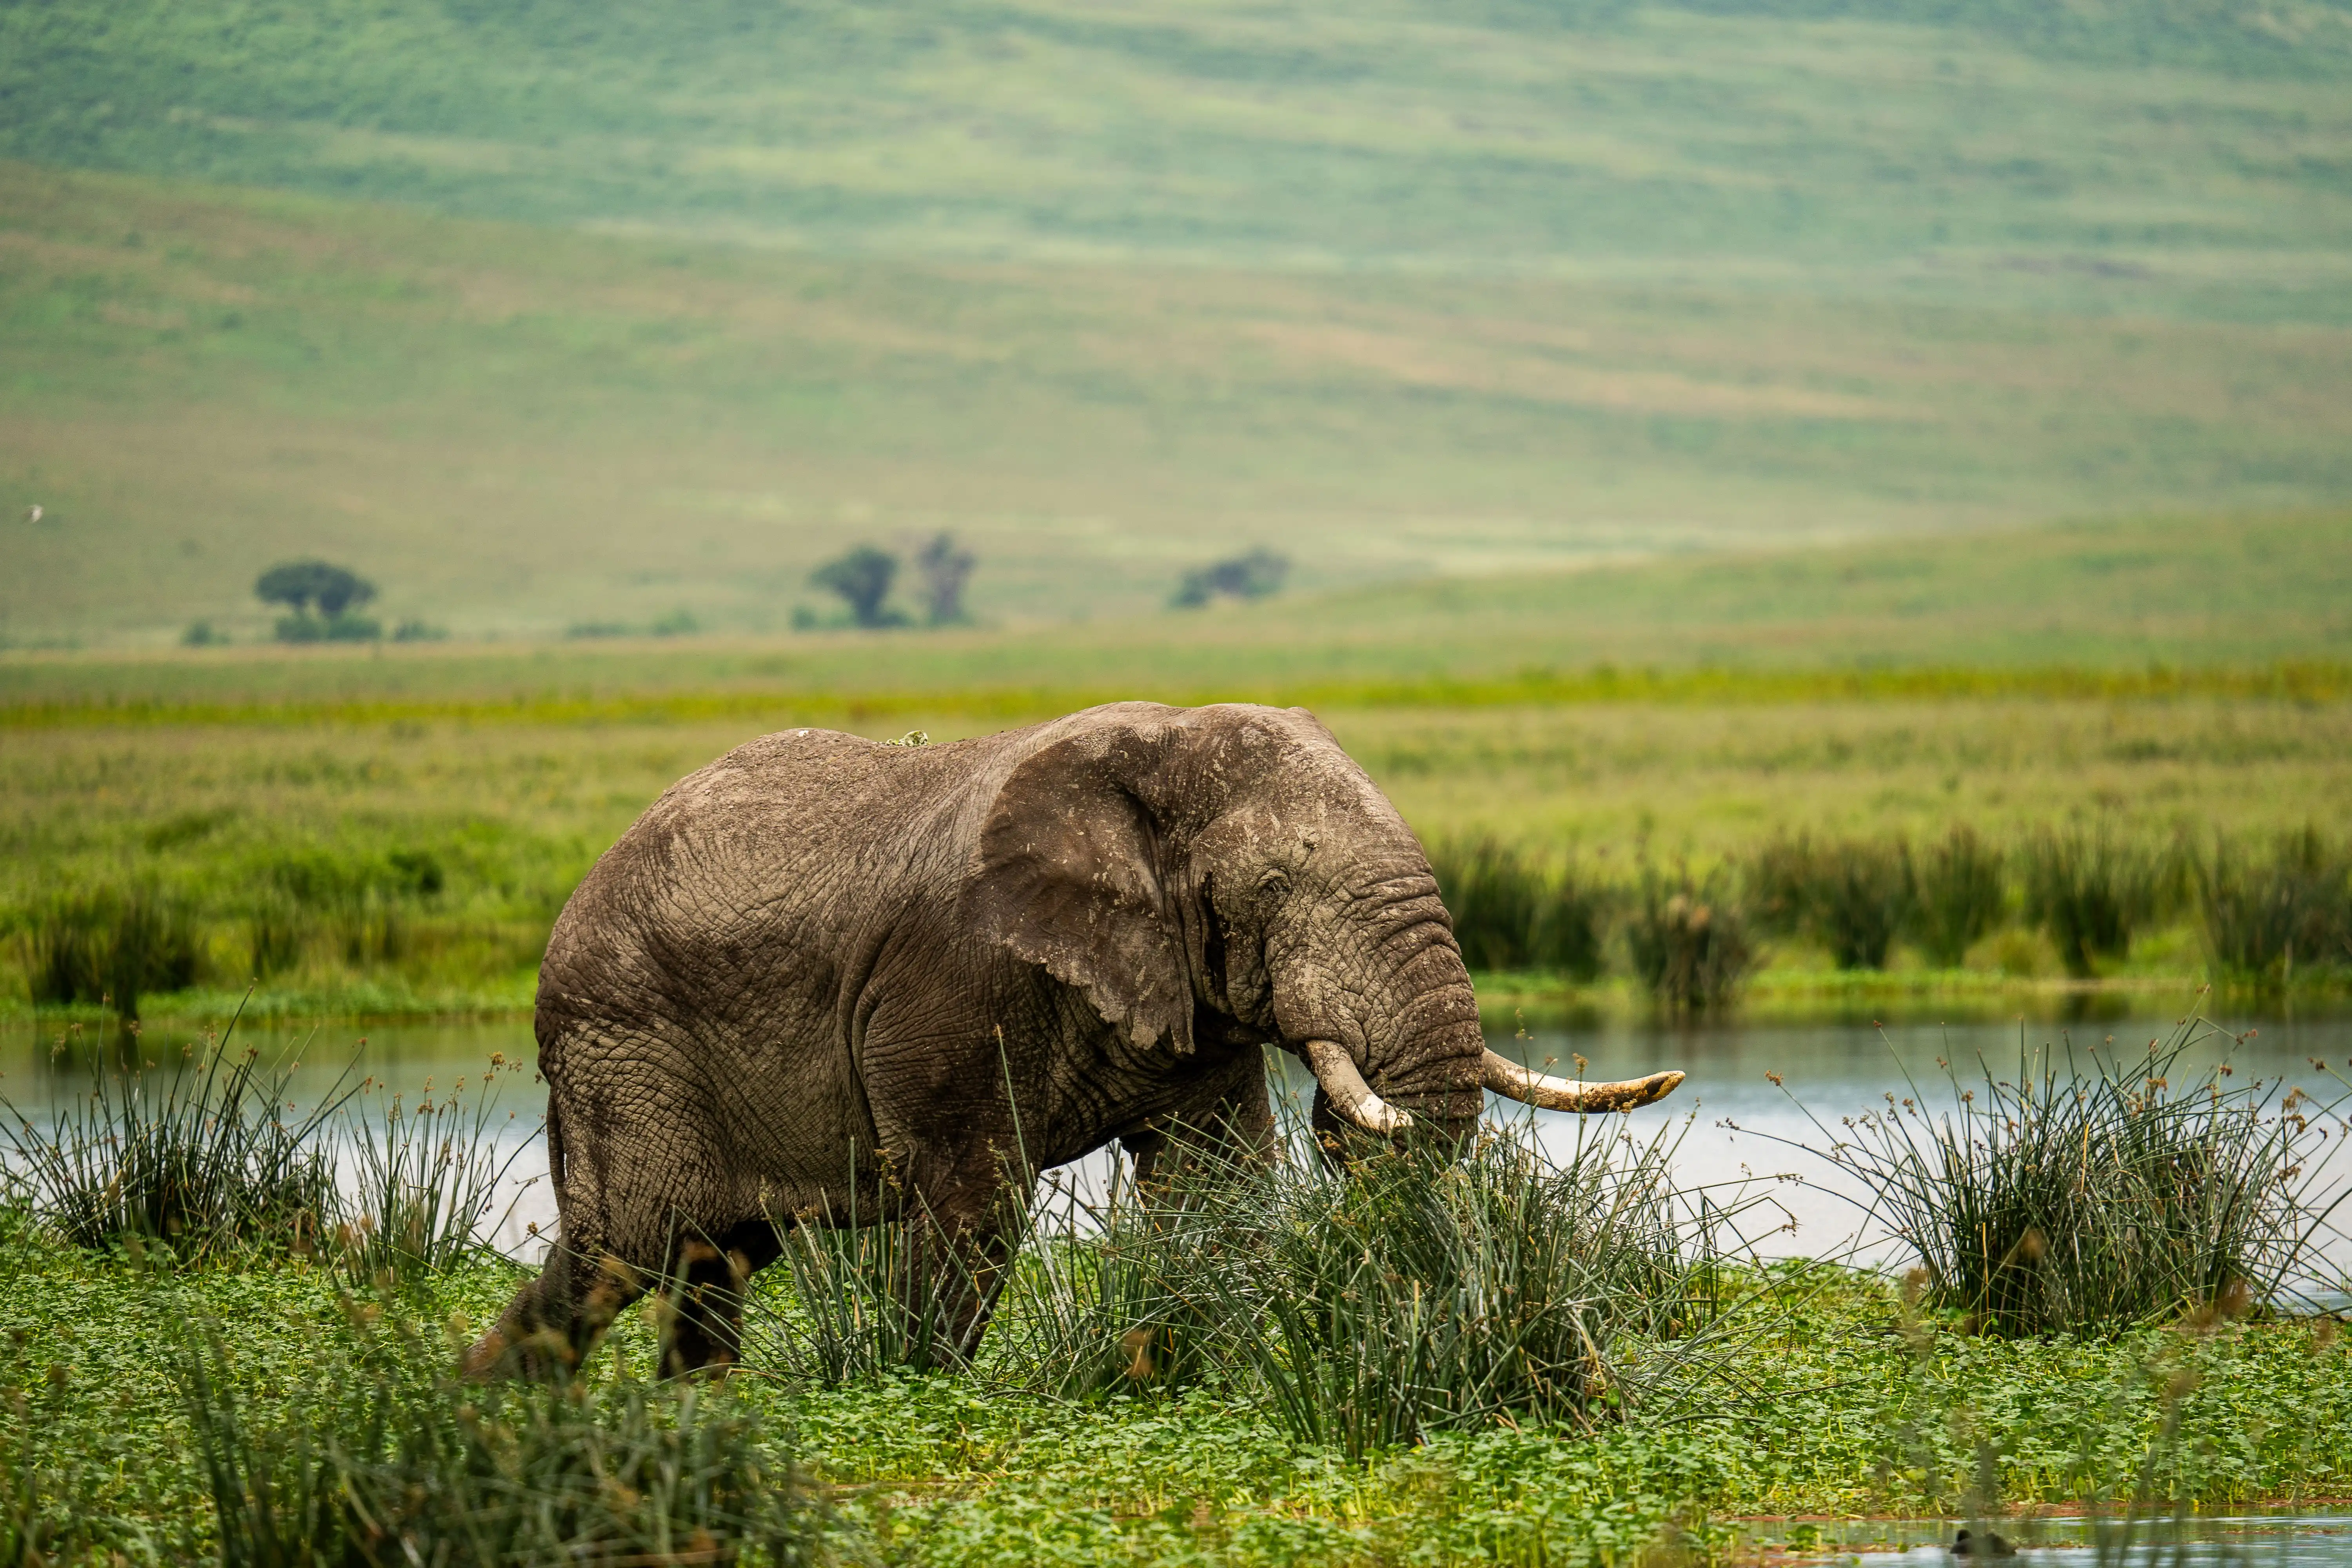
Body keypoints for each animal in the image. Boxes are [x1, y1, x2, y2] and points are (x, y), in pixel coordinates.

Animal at [465, 701, 1684, 1378]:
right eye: (1270, 893)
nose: (1346, 1117)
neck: (1160, 751)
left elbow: (1216, 1187)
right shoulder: (956, 980)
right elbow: (975, 1201)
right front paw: (918, 1388)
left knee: (707, 1261)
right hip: (627, 1045)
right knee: (622, 1249)